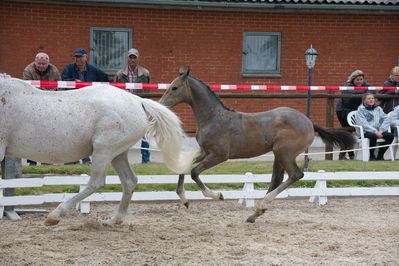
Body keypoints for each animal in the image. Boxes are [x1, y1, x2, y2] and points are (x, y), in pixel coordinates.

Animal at [0, 74, 198, 225]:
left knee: (96, 182)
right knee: (129, 181)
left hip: (103, 150)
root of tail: (138, 101)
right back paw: (114, 220)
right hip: (118, 154)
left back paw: (55, 215)